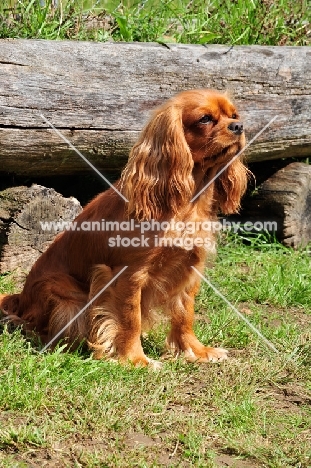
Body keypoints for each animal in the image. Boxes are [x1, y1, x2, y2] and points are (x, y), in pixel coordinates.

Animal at [0, 89, 249, 370]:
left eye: (234, 115)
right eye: (205, 119)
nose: (239, 126)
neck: (188, 200)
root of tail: (20, 301)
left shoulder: (189, 268)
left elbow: (185, 313)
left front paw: (195, 350)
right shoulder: (128, 274)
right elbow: (131, 319)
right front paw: (135, 359)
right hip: (65, 294)